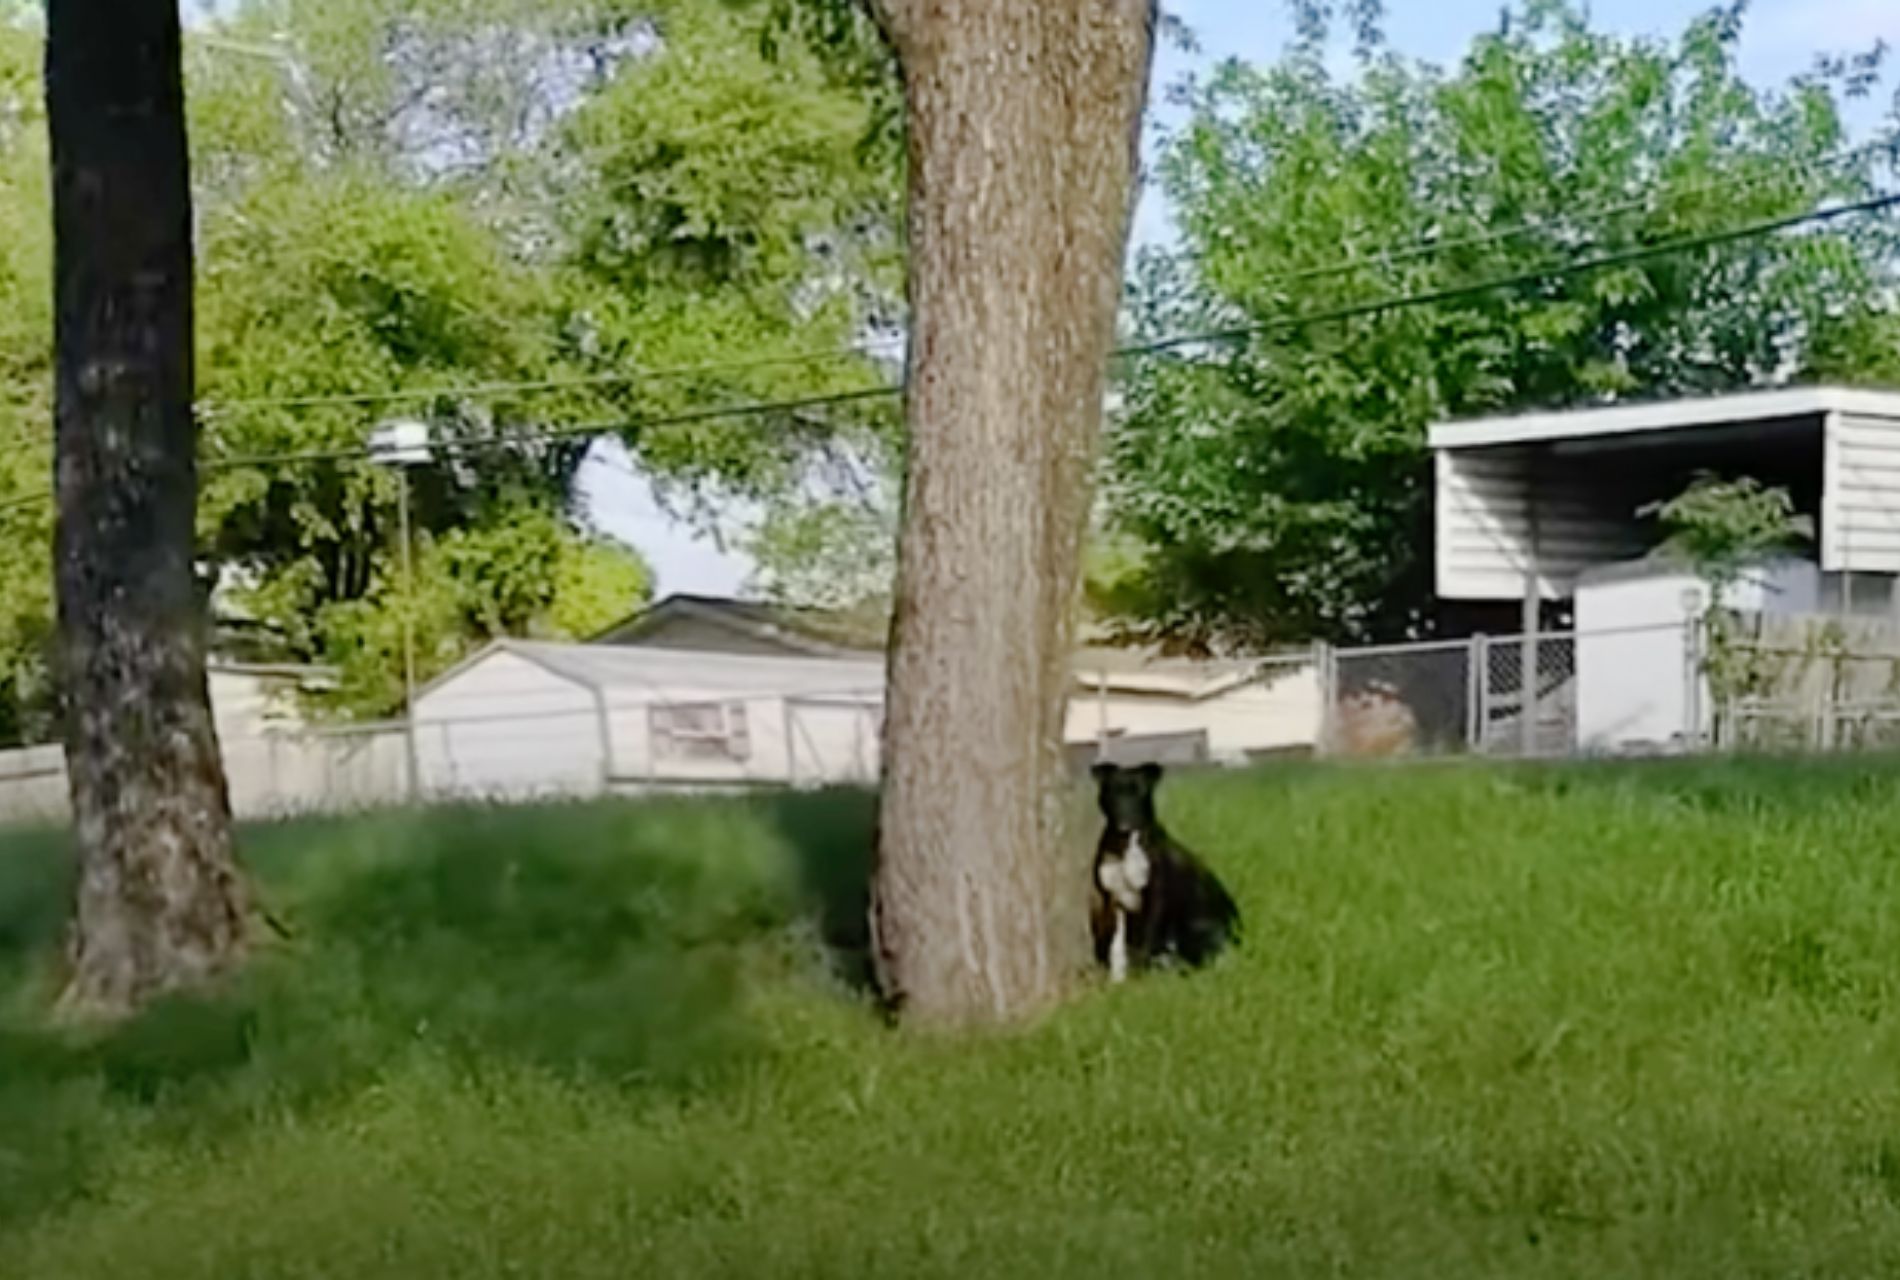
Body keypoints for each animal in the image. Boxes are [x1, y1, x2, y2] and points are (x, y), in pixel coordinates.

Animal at [1094, 763, 1238, 979]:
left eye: (1140, 792)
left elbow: (1147, 941)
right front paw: (1118, 978)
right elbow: (1116, 945)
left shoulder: (1156, 900)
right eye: (1113, 792)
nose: (1125, 819)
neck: (1126, 845)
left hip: (1194, 926)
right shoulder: (1111, 899)